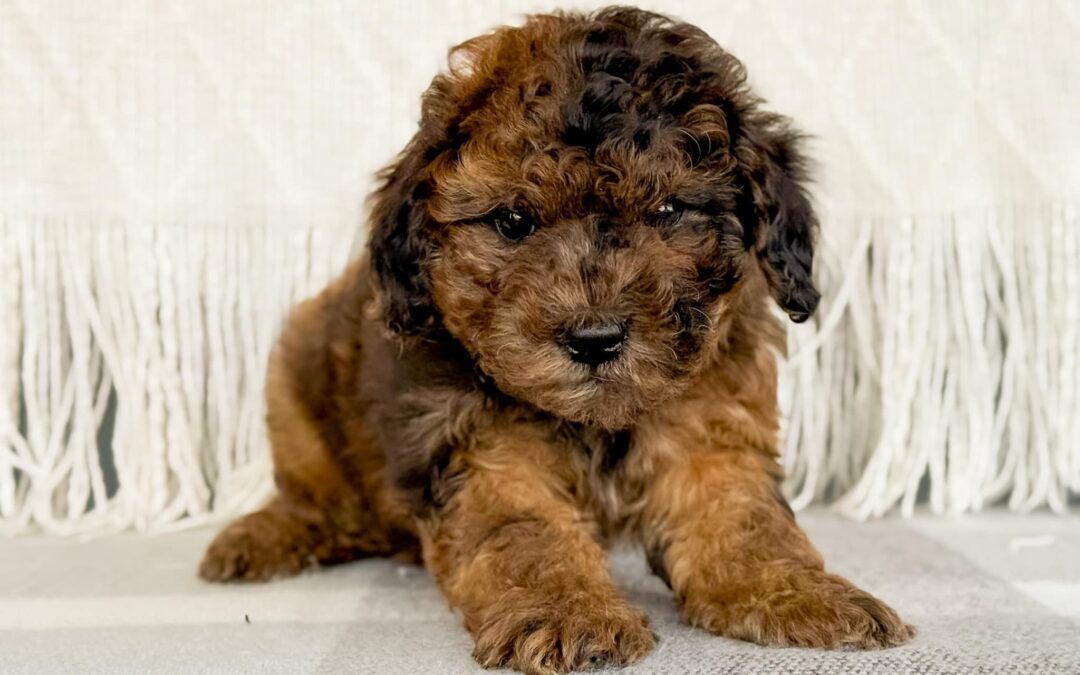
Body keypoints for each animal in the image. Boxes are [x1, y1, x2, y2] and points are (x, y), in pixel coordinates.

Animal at [200, 6, 911, 673]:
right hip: (294, 380)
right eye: (514, 220)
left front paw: (799, 592)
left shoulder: (712, 425)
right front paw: (568, 613)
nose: (594, 339)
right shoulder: (482, 449)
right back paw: (260, 537)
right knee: (316, 494)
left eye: (669, 212)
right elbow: (525, 534)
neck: (596, 419)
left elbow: (740, 516)